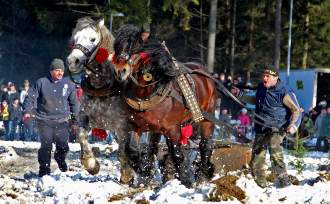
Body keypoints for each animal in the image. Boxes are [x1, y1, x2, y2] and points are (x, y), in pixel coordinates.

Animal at [112, 24, 218, 186]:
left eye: (135, 48)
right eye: (117, 47)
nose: (120, 71)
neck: (147, 93)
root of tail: (204, 72)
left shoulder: (173, 129)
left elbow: (177, 154)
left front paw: (185, 180)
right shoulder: (135, 125)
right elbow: (133, 149)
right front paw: (144, 173)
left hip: (207, 117)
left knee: (205, 145)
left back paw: (202, 175)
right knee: (154, 147)